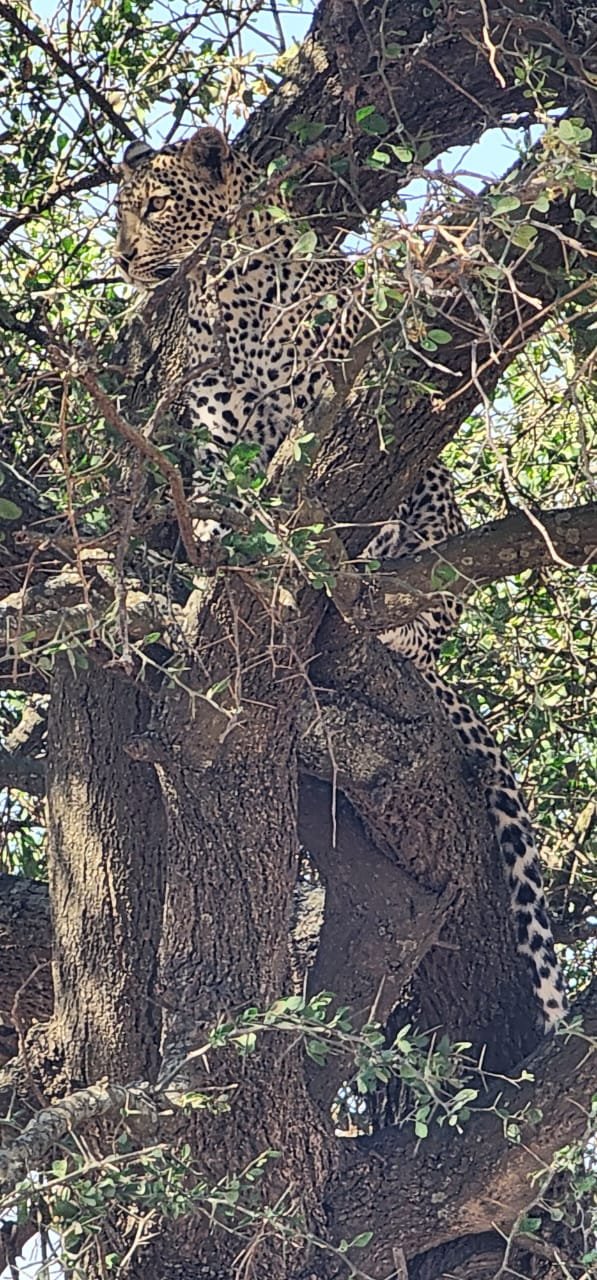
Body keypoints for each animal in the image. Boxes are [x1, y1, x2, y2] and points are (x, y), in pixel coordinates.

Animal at [114, 127, 566, 1030]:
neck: (233, 293)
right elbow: (225, 509)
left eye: (155, 206)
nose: (118, 255)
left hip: (431, 511)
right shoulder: (220, 438)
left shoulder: (342, 405)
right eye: (119, 212)